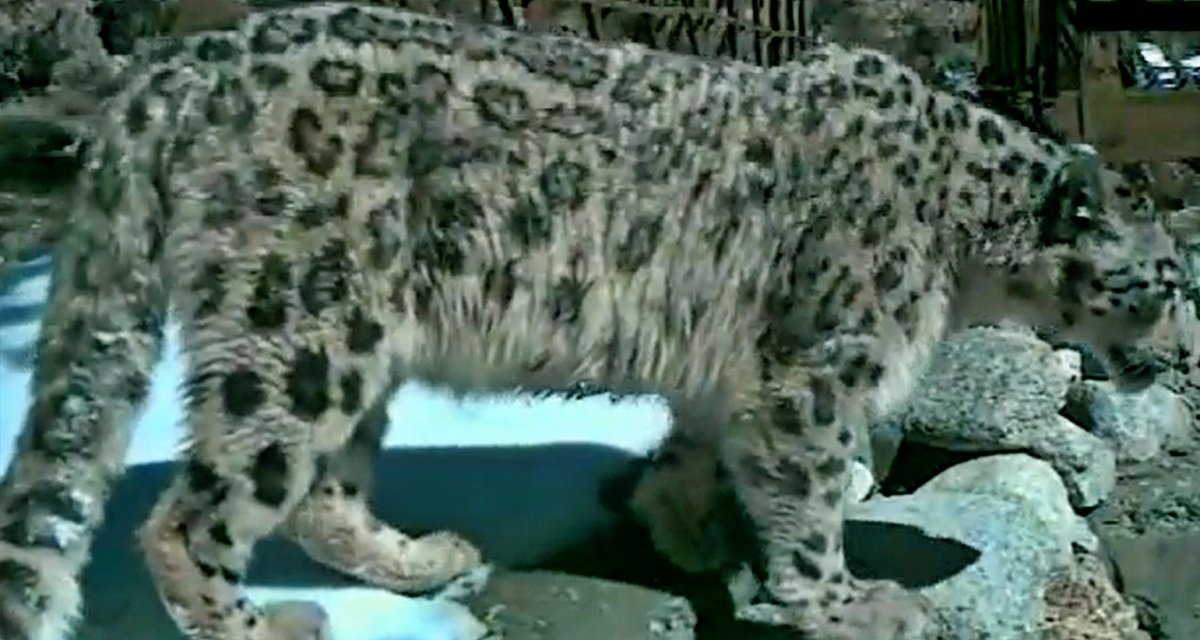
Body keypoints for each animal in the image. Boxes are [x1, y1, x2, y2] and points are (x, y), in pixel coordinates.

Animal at [0, 2, 1187, 640]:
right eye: (1168, 282)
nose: (1178, 355)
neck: (963, 243)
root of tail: (178, 66)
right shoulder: (817, 371)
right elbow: (809, 499)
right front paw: (847, 601)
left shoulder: (739, 376)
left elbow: (704, 450)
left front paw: (687, 527)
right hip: (293, 328)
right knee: (196, 513)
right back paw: (264, 620)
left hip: (346, 345)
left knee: (322, 495)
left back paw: (419, 560)